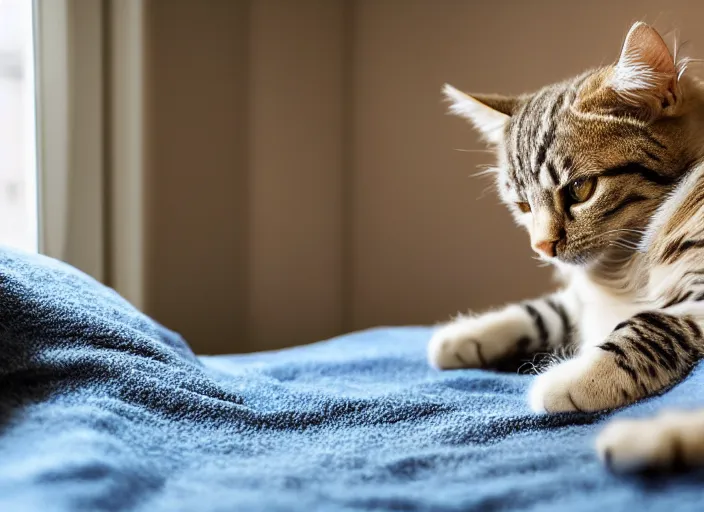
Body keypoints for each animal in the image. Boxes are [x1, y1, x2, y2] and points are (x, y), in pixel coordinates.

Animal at [428, 22, 704, 474]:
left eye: (580, 189)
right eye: (522, 205)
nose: (542, 246)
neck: (623, 267)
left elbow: (649, 326)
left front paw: (572, 379)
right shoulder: (582, 298)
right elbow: (546, 310)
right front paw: (463, 336)